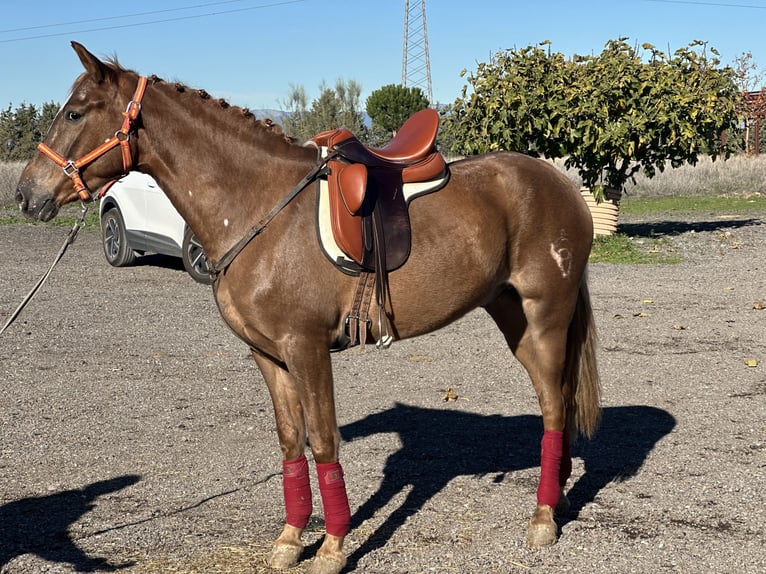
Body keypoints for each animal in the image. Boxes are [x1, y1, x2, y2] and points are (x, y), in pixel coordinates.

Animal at [13, 44, 600, 574]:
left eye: (75, 112)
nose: (25, 194)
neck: (258, 206)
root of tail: (563, 184)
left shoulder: (307, 347)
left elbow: (323, 441)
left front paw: (334, 547)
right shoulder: (268, 355)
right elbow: (291, 441)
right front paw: (291, 540)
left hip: (545, 317)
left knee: (554, 406)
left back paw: (542, 519)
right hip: (514, 317)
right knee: (558, 400)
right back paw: (558, 496)